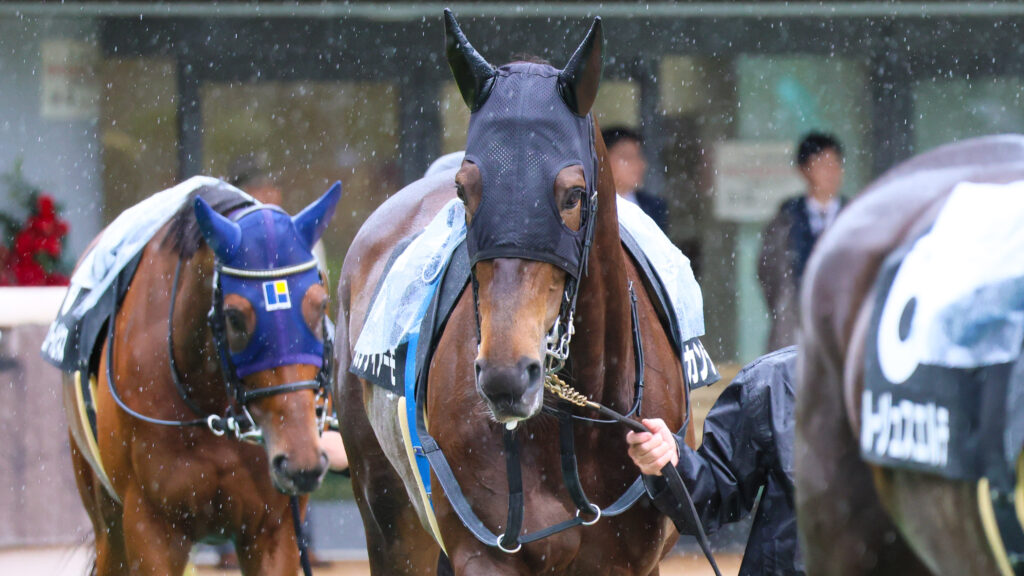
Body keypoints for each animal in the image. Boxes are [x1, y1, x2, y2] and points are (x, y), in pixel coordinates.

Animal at [59, 179, 341, 575]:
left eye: (320, 303)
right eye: (235, 317)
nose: (299, 462)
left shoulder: (275, 529)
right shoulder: (150, 526)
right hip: (107, 523)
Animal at [337, 11, 697, 575]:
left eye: (573, 194)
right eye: (463, 190)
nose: (506, 376)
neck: (574, 421)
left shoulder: (629, 560)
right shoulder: (485, 555)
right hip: (389, 520)